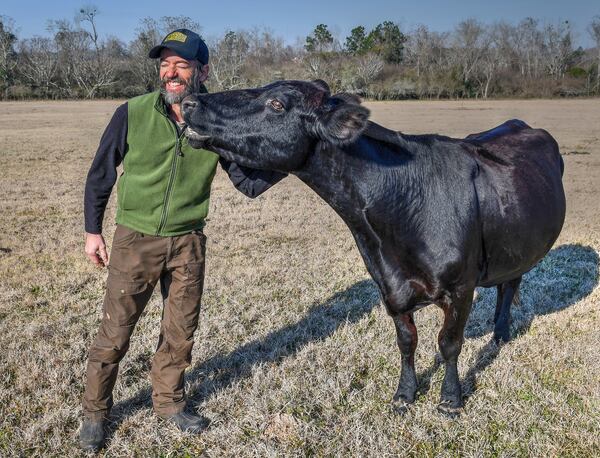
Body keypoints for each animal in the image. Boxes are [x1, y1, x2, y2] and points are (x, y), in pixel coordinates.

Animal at [180, 79, 564, 416]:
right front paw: (404, 394)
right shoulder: (388, 285)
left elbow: (449, 343)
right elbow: (407, 342)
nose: (189, 102)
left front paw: (450, 400)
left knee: (510, 284)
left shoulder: (460, 287)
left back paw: (499, 334)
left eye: (276, 104)